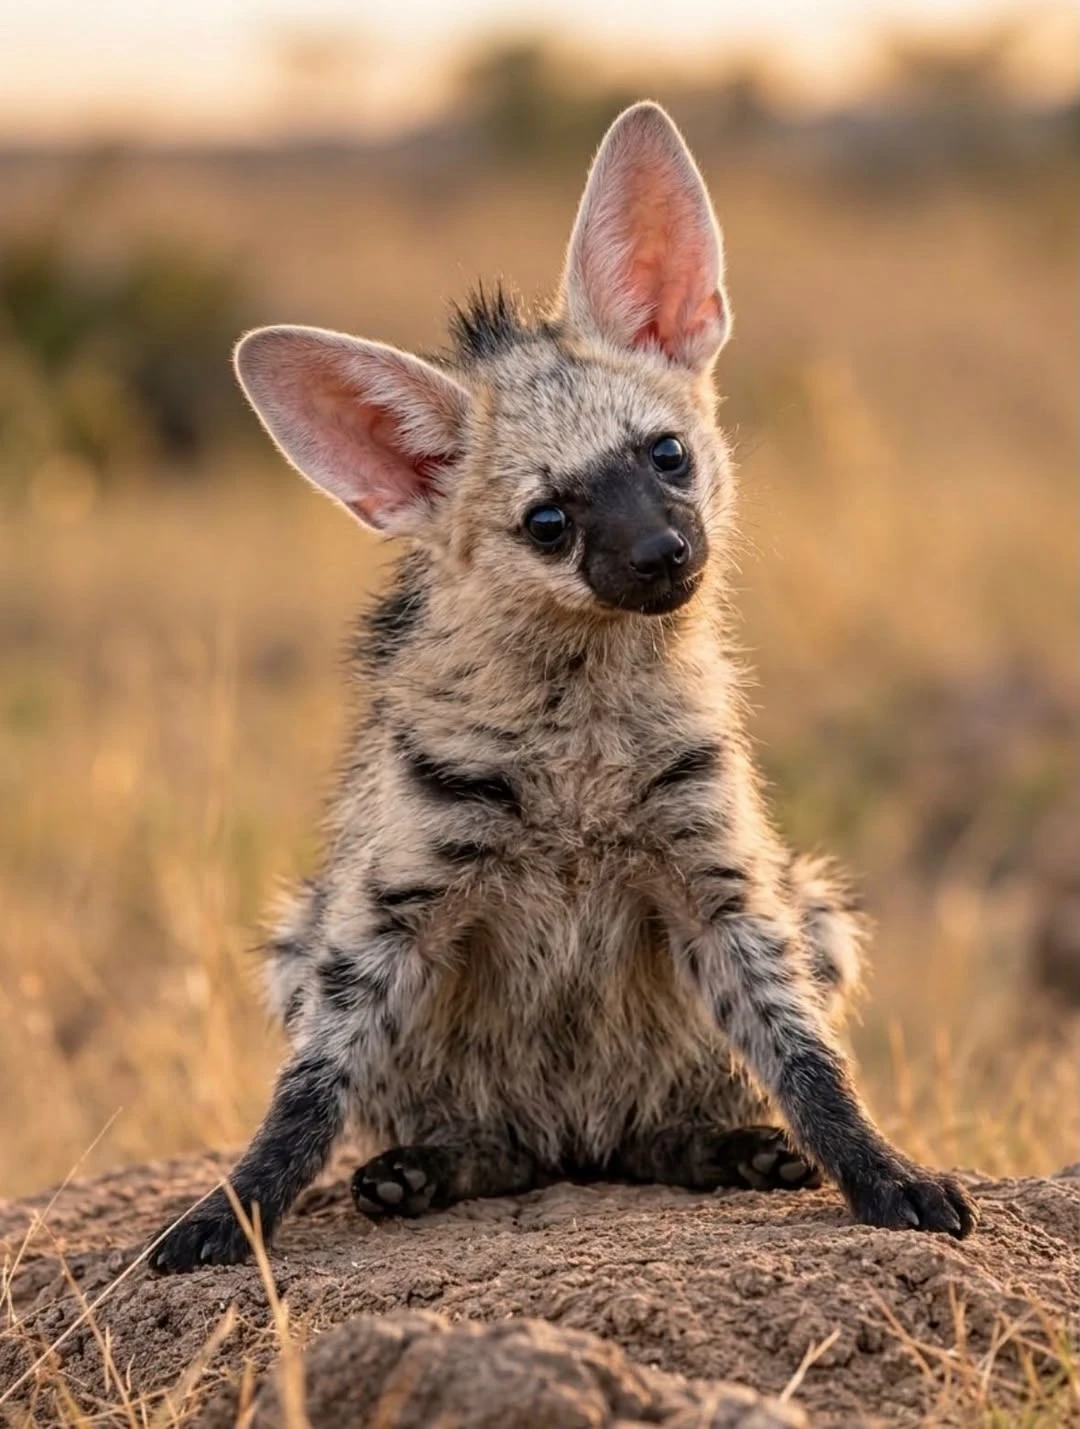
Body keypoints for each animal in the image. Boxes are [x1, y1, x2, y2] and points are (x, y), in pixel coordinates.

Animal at [150, 101, 975, 1272]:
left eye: (666, 454)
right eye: (550, 519)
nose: (665, 553)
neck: (581, 735)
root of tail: (577, 1145)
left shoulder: (721, 873)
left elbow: (804, 1054)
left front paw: (891, 1177)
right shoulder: (386, 905)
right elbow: (309, 1089)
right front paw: (224, 1216)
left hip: (813, 907)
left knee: (655, 1132)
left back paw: (734, 1151)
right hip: (297, 941)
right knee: (497, 1145)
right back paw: (416, 1174)